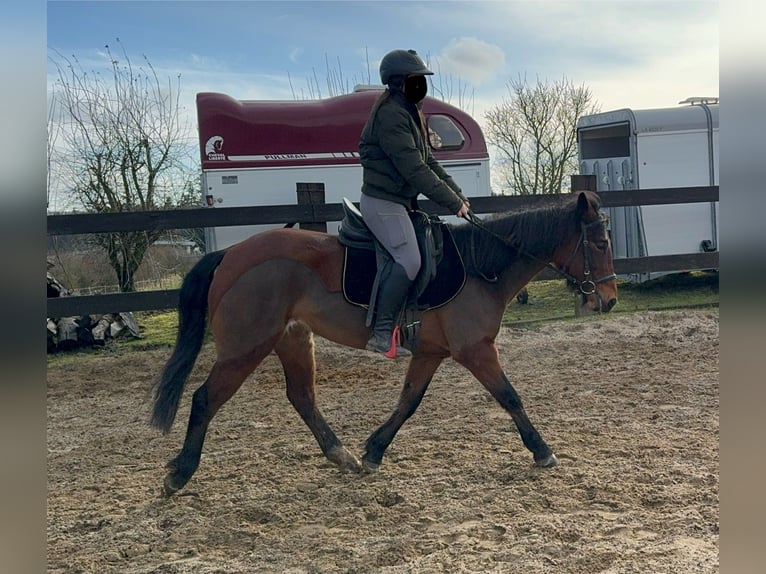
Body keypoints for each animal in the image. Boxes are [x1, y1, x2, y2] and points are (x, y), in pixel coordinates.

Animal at [153, 191, 620, 498]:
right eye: (600, 243)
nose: (610, 299)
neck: (479, 265)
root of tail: (231, 254)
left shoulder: (431, 353)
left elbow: (407, 402)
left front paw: (374, 450)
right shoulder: (476, 350)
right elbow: (510, 397)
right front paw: (542, 451)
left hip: (293, 340)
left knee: (302, 398)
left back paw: (342, 456)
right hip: (245, 348)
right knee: (204, 399)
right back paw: (179, 474)